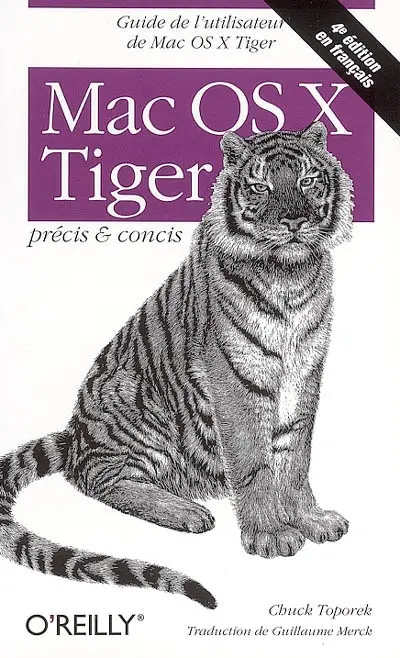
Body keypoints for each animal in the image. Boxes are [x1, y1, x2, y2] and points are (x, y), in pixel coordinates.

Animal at [0, 121, 353, 609]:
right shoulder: (234, 376)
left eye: (307, 180)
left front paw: (310, 518)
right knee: (97, 478)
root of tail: (75, 433)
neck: (290, 274)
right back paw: (187, 511)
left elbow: (296, 455)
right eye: (260, 186)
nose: (294, 223)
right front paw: (270, 534)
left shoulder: (304, 370)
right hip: (130, 397)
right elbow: (254, 461)